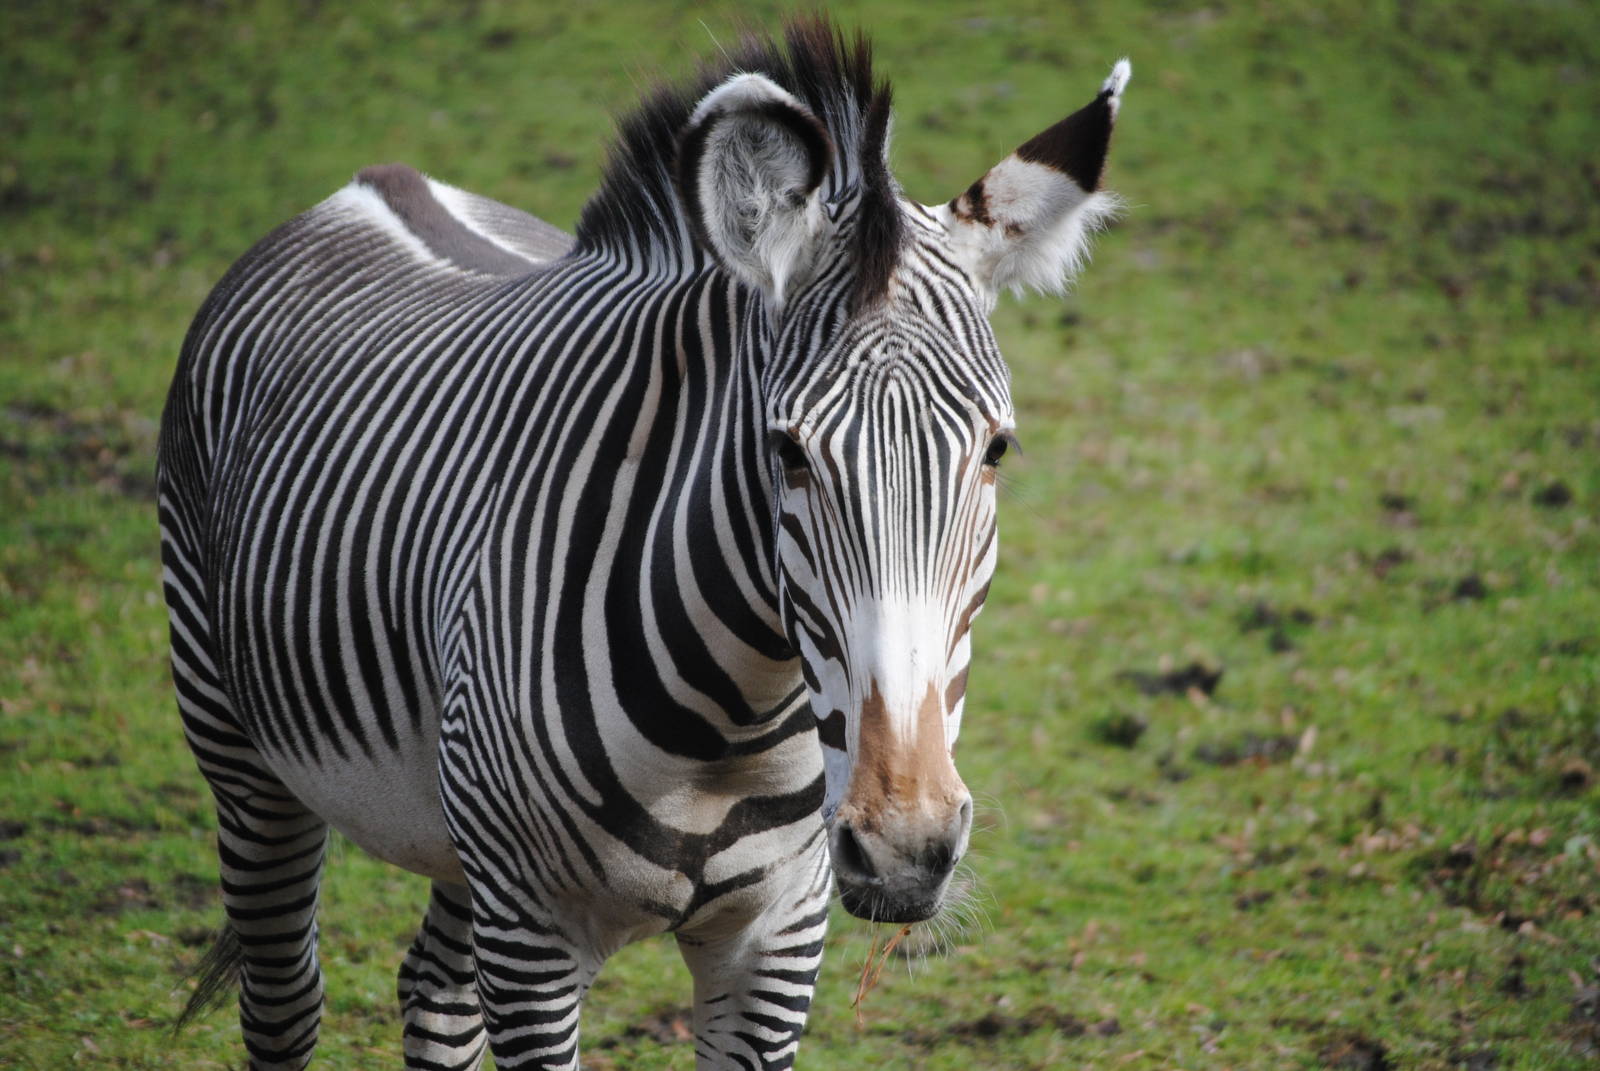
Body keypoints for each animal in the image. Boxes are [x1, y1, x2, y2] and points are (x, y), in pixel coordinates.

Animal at [158, 18, 1127, 1071]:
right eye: (785, 451)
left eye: (997, 449)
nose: (905, 848)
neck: (733, 723)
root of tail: (374, 184)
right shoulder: (533, 935)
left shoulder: (777, 936)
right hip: (240, 754)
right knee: (284, 995)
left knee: (433, 990)